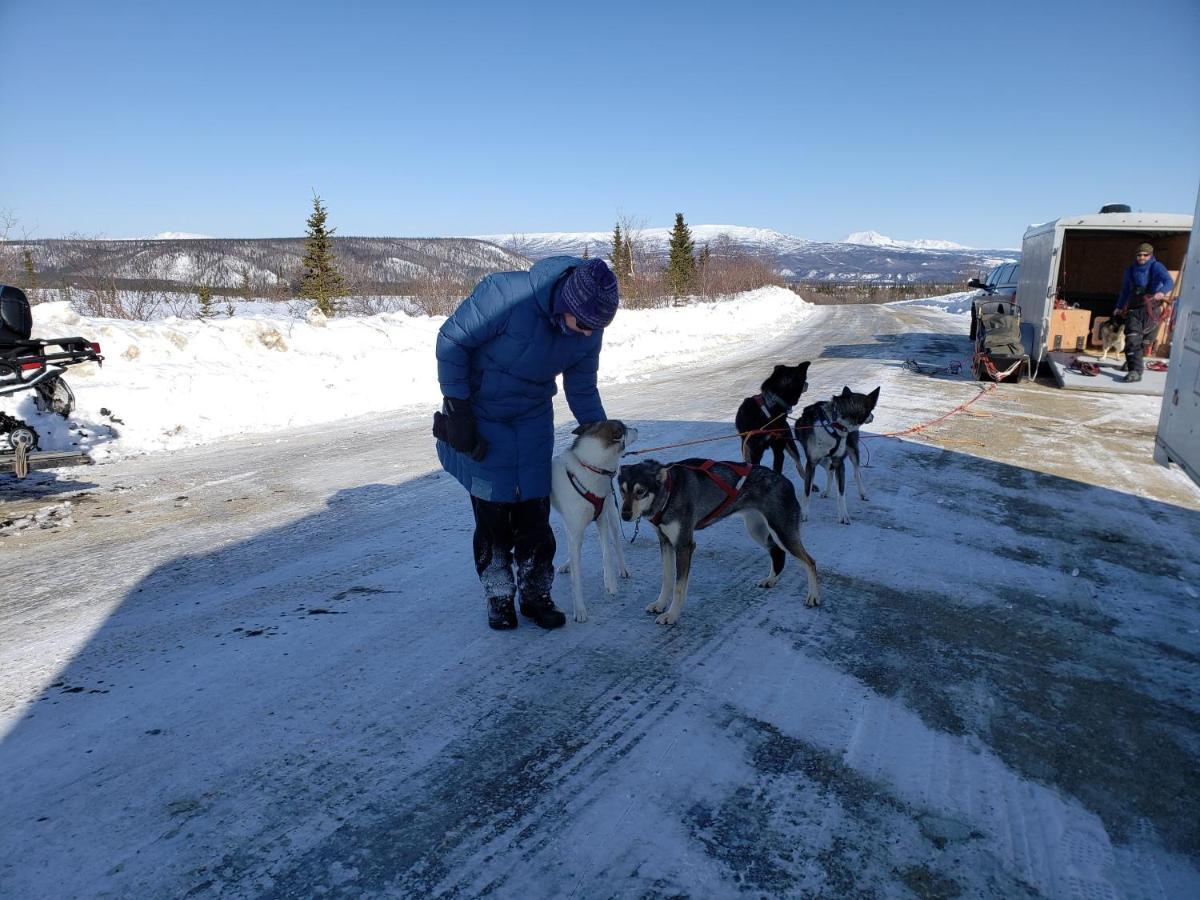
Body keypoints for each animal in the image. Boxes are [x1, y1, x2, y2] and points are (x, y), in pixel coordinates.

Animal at [549, 422, 638, 619]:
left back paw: (624, 569)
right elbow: (576, 577)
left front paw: (610, 583)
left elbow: (607, 553)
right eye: (624, 428)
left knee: (617, 544)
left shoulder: (602, 520)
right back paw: (567, 564)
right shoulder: (575, 529)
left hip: (612, 514)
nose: (636, 429)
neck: (591, 467)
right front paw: (580, 608)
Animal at [619, 458, 816, 628]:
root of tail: (785, 481)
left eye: (640, 491)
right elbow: (667, 579)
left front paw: (672, 615)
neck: (669, 490)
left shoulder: (684, 546)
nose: (625, 515)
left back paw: (813, 596)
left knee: (810, 562)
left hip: (783, 533)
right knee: (776, 551)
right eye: (622, 490)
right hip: (757, 531)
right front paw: (660, 604)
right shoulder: (665, 542)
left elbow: (679, 587)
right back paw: (771, 579)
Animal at [796, 386, 883, 525]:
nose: (873, 416)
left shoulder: (839, 462)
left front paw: (844, 515)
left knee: (856, 473)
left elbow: (841, 493)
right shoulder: (811, 462)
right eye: (871, 410)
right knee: (830, 470)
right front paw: (804, 513)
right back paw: (826, 492)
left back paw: (862, 493)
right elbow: (806, 492)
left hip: (853, 451)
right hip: (822, 459)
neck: (834, 423)